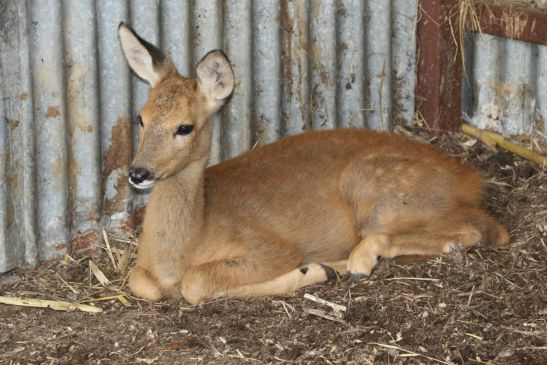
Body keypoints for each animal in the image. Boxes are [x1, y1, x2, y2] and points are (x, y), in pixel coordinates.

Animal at [117, 22, 508, 304]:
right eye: (140, 117)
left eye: (185, 127)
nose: (138, 173)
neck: (186, 245)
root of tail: (469, 178)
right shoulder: (143, 271)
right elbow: (139, 281)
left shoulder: (270, 248)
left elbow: (195, 284)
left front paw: (310, 272)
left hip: (380, 192)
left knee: (485, 230)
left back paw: (352, 262)